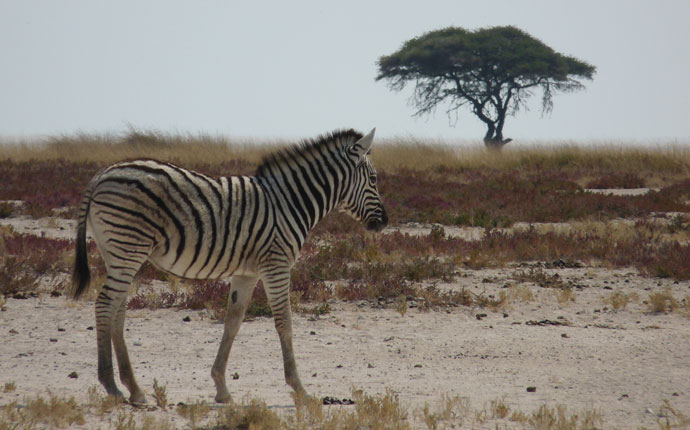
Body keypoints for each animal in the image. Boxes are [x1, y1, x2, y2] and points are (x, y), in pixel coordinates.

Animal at [74, 127, 388, 404]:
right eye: (373, 179)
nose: (384, 222)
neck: (290, 202)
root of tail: (102, 174)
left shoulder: (246, 273)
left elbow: (232, 322)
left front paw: (221, 388)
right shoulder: (276, 265)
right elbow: (284, 322)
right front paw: (299, 388)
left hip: (117, 252)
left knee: (117, 310)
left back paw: (134, 389)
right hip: (128, 246)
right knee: (105, 305)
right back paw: (111, 385)